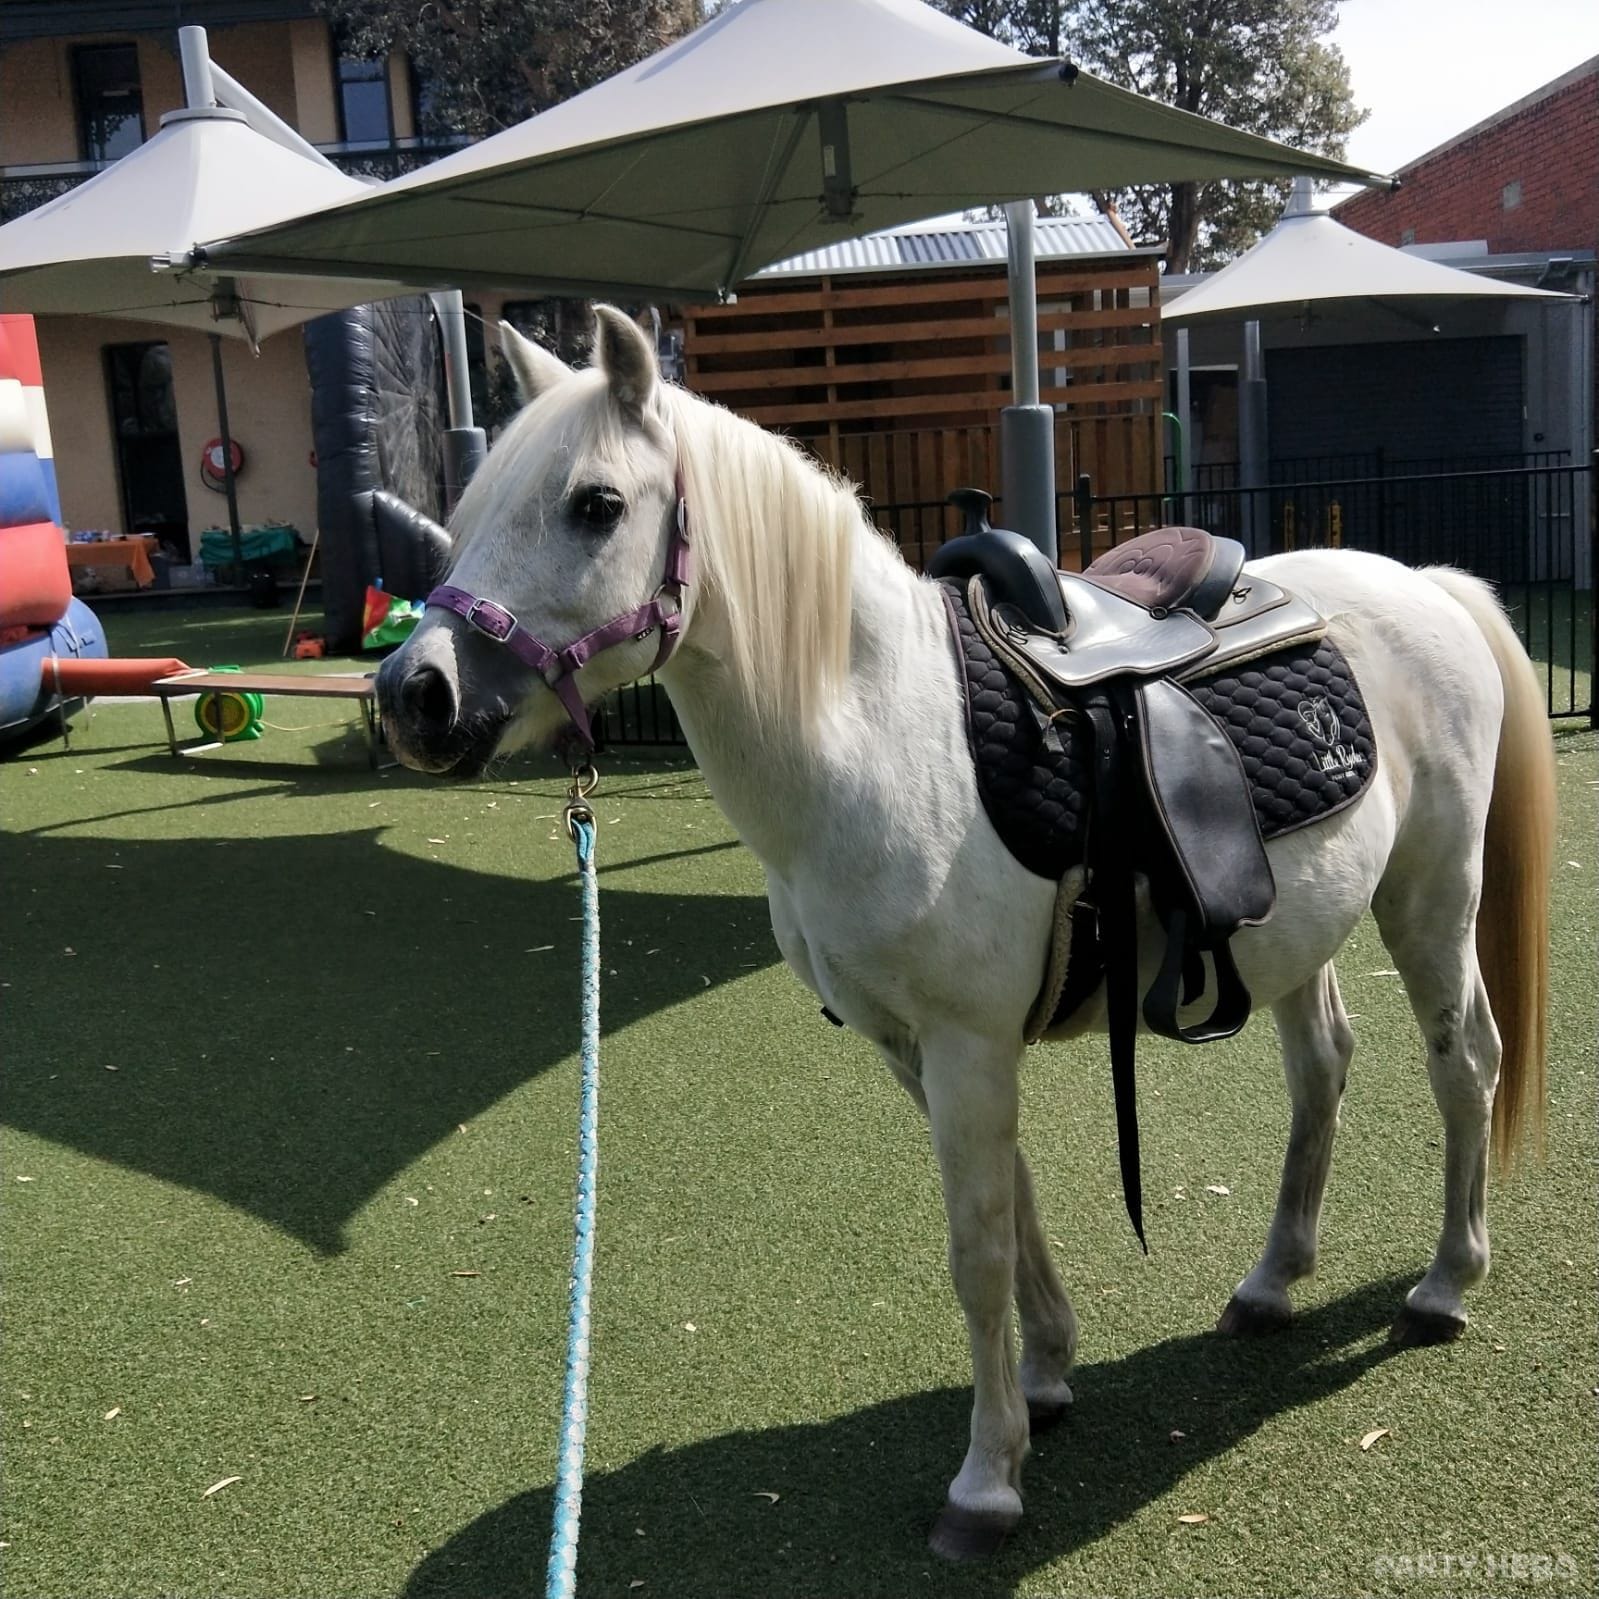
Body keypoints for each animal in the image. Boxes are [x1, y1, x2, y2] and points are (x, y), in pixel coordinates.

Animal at [375, 305, 1555, 1560]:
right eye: (468, 510)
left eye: (595, 503)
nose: (414, 695)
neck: (874, 736)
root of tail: (1426, 585)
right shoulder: (917, 1050)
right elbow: (1016, 1212)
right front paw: (1044, 1380)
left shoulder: (966, 1046)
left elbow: (976, 1252)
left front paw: (987, 1482)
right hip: (1295, 932)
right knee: (1323, 1068)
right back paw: (1273, 1282)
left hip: (1432, 900)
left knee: (1465, 1065)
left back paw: (1446, 1283)